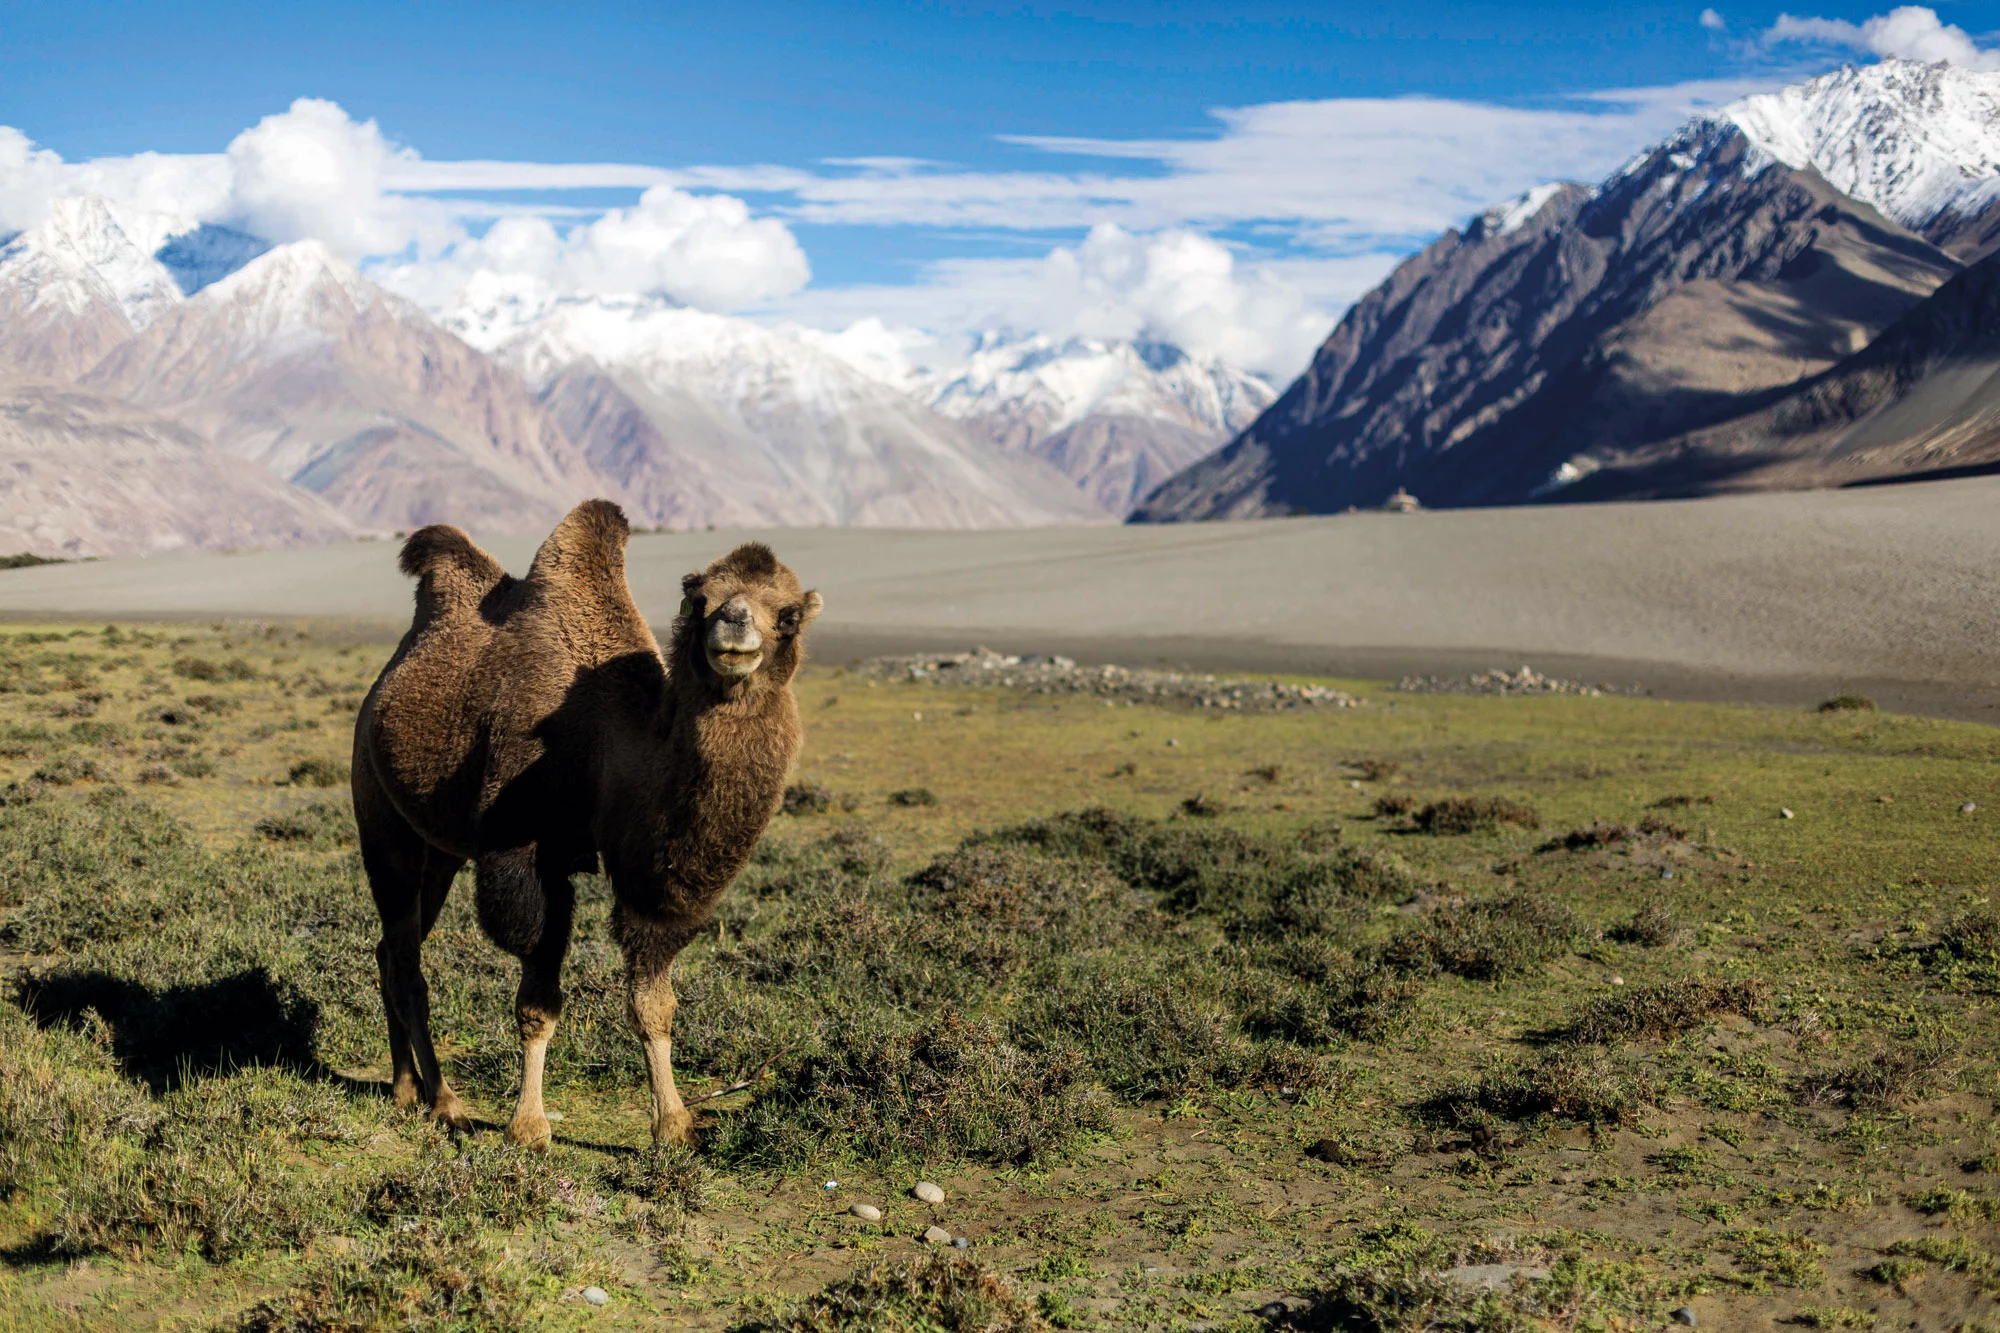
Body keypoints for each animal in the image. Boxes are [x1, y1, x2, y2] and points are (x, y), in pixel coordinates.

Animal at [352, 498, 820, 1144]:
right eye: (698, 600)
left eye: (789, 614)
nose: (732, 626)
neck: (609, 746)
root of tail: (380, 691)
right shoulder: (530, 858)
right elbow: (538, 1000)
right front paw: (528, 1126)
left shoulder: (648, 880)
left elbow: (653, 1003)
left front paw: (673, 1124)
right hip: (381, 821)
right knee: (405, 958)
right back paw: (442, 1100)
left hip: (440, 853)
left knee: (390, 950)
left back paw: (404, 1088)